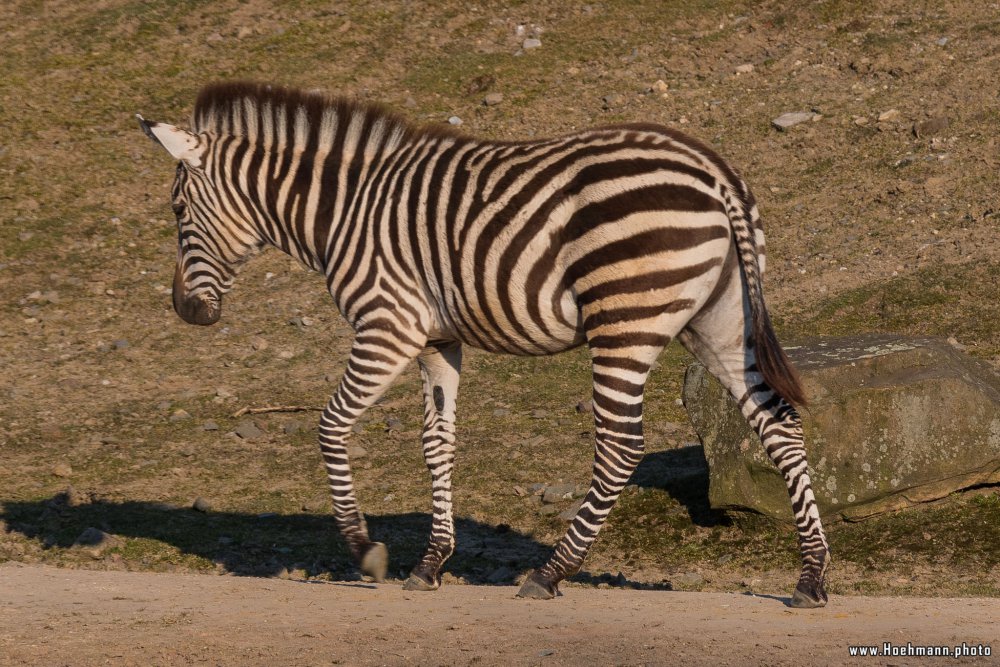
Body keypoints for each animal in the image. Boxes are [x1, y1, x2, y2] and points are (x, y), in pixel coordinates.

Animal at [137, 81, 832, 608]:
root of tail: (712, 169)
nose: (185, 312)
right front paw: (431, 563)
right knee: (778, 424)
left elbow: (331, 426)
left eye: (177, 211)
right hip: (719, 321)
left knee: (620, 446)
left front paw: (366, 551)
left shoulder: (388, 327)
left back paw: (550, 573)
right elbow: (436, 442)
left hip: (624, 320)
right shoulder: (437, 338)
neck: (343, 211)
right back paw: (811, 577)